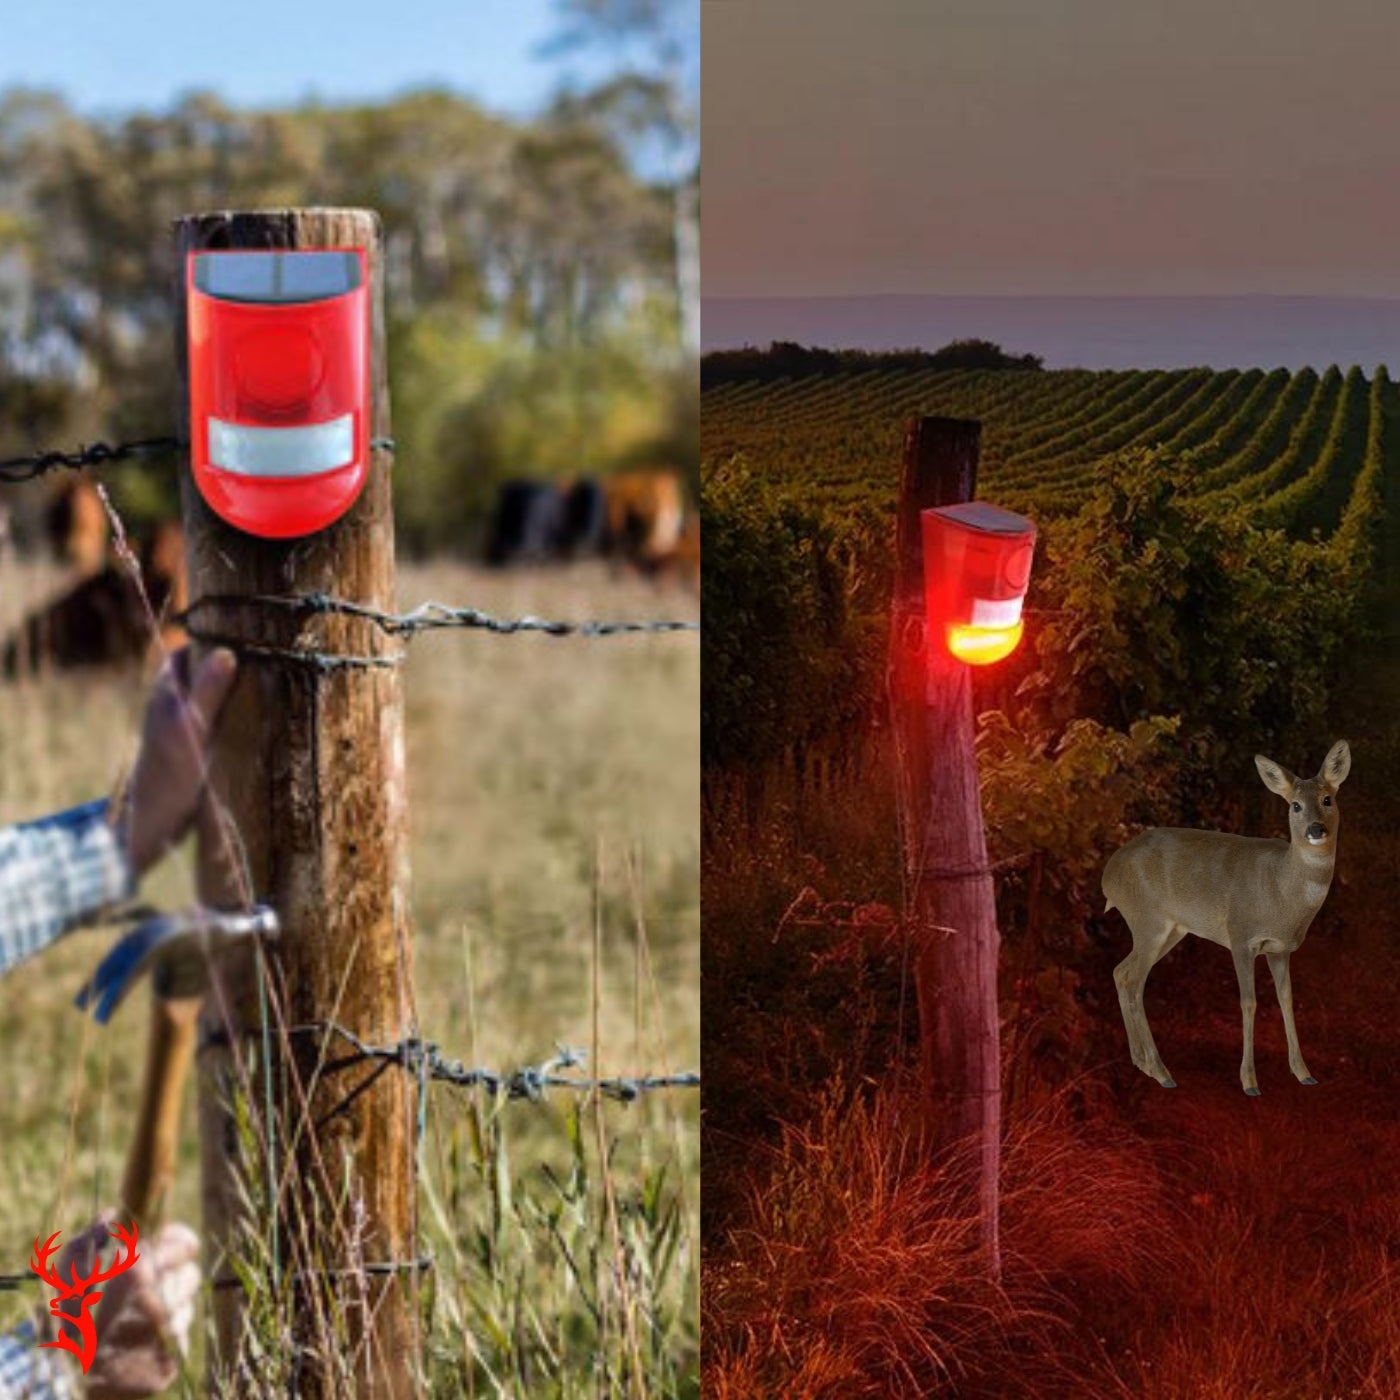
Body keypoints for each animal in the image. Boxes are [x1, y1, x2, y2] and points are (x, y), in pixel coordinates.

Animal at [1103, 739, 1344, 1097]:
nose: (1316, 829)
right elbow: (1249, 1002)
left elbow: (1286, 999)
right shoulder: (1240, 936)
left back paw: (1142, 1063)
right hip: (1147, 920)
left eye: (1328, 799)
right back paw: (1162, 1072)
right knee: (1134, 981)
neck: (1281, 890)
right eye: (1296, 805)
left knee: (1121, 972)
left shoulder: (1280, 949)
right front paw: (1249, 1082)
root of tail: (1107, 876)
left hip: (1169, 929)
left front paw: (1303, 1072)